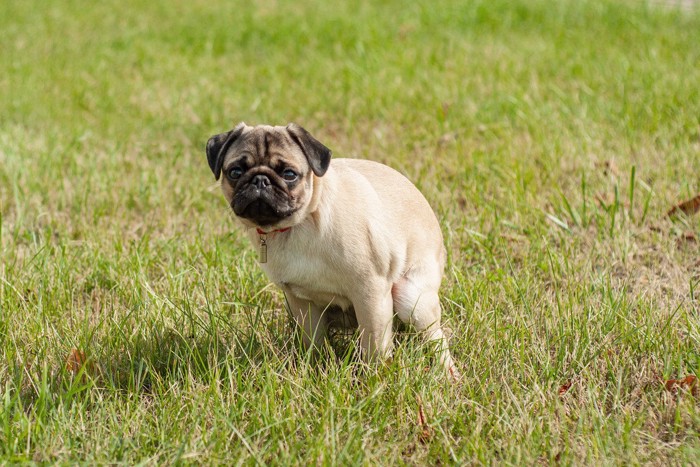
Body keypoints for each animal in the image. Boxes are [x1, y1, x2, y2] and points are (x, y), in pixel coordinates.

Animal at [206, 123, 460, 376]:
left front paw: (374, 377)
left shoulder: (370, 293)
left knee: (435, 338)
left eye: (289, 174)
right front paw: (312, 367)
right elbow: (312, 341)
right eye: (235, 172)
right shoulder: (300, 301)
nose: (260, 180)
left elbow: (375, 346)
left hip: (411, 297)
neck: (301, 224)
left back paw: (448, 372)